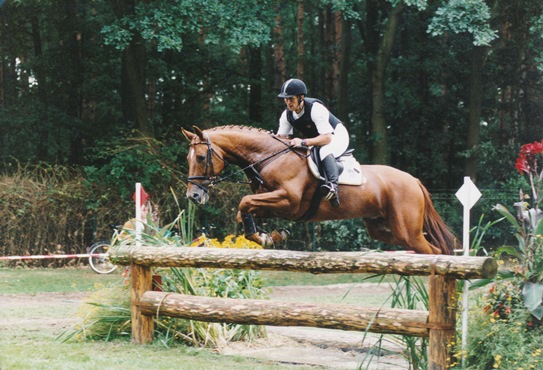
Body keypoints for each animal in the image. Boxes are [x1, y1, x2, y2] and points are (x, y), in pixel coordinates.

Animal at [183, 124, 460, 254]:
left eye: (200, 157)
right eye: (189, 158)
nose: (193, 196)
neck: (269, 157)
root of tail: (414, 180)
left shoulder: (289, 202)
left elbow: (244, 202)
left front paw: (269, 235)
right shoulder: (269, 201)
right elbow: (245, 212)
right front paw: (270, 236)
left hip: (407, 229)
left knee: (433, 250)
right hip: (383, 227)